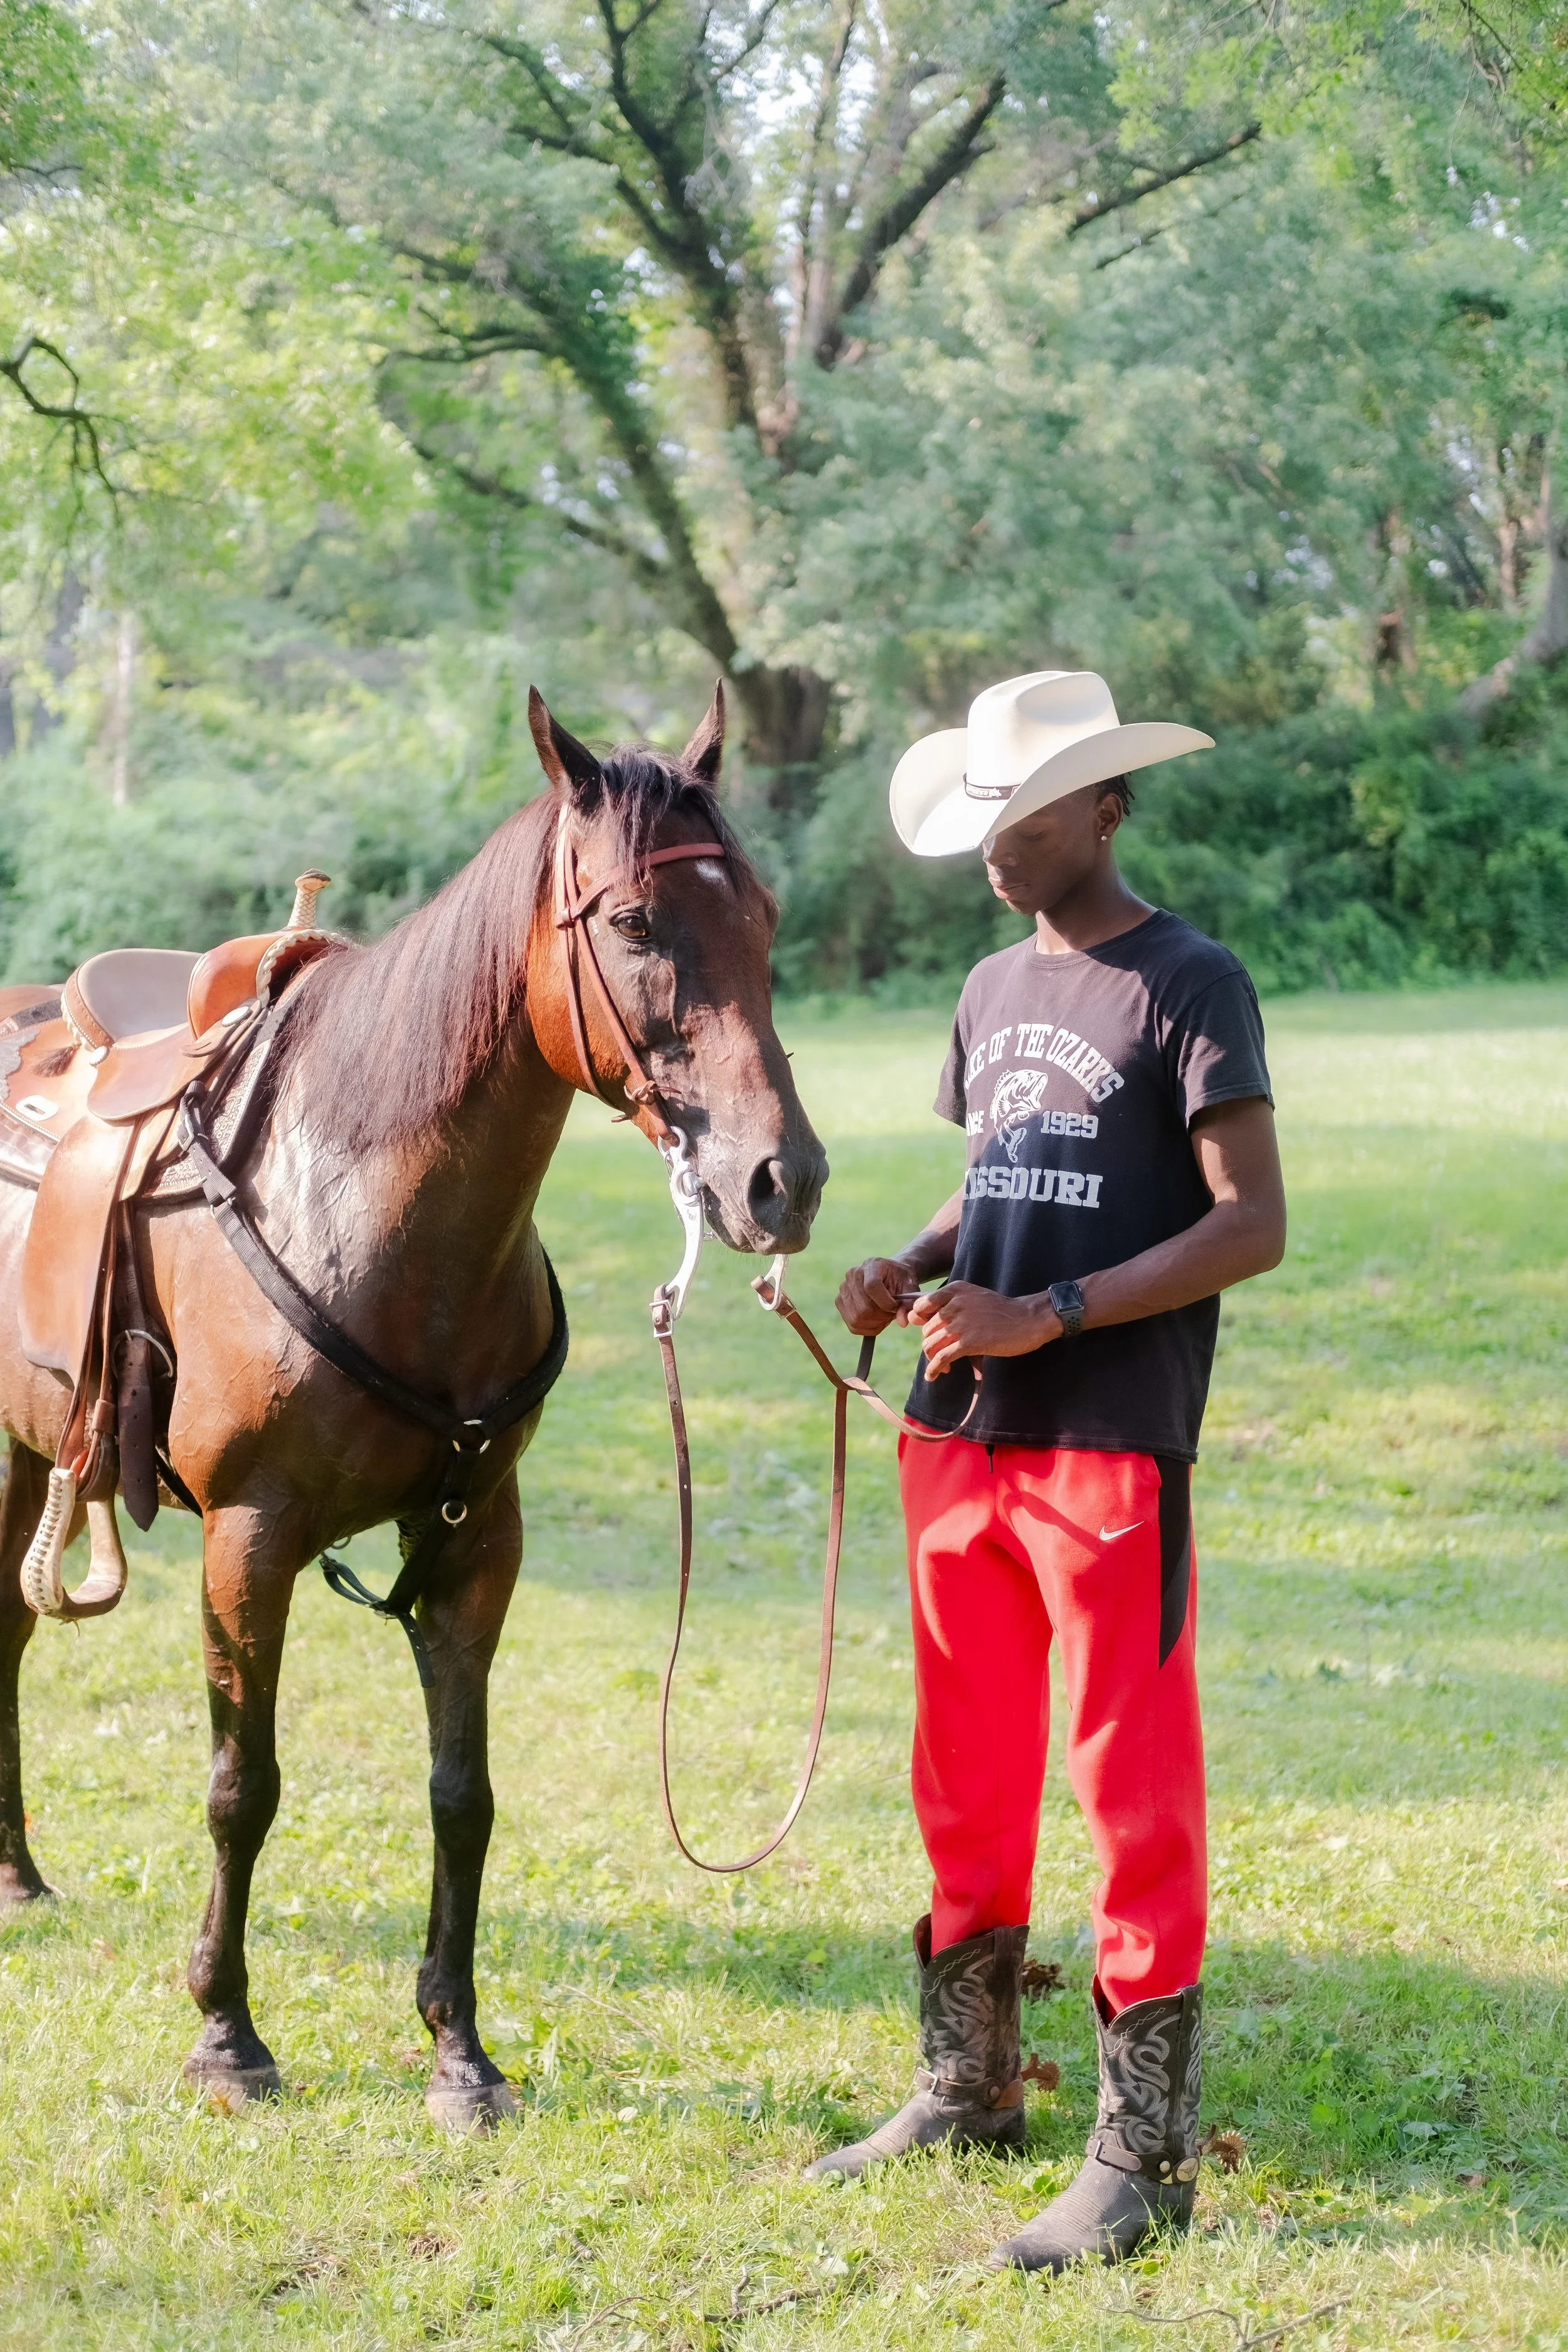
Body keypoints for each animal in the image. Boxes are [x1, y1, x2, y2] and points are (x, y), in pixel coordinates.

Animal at [0, 685, 827, 2128]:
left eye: (768, 915)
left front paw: (458, 2050)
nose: (780, 1179)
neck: (364, 1203)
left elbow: (461, 1795)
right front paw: (227, 2035)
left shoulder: (476, 1539)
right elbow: (243, 1787)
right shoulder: (249, 1539)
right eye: (632, 923)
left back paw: (17, 1872)